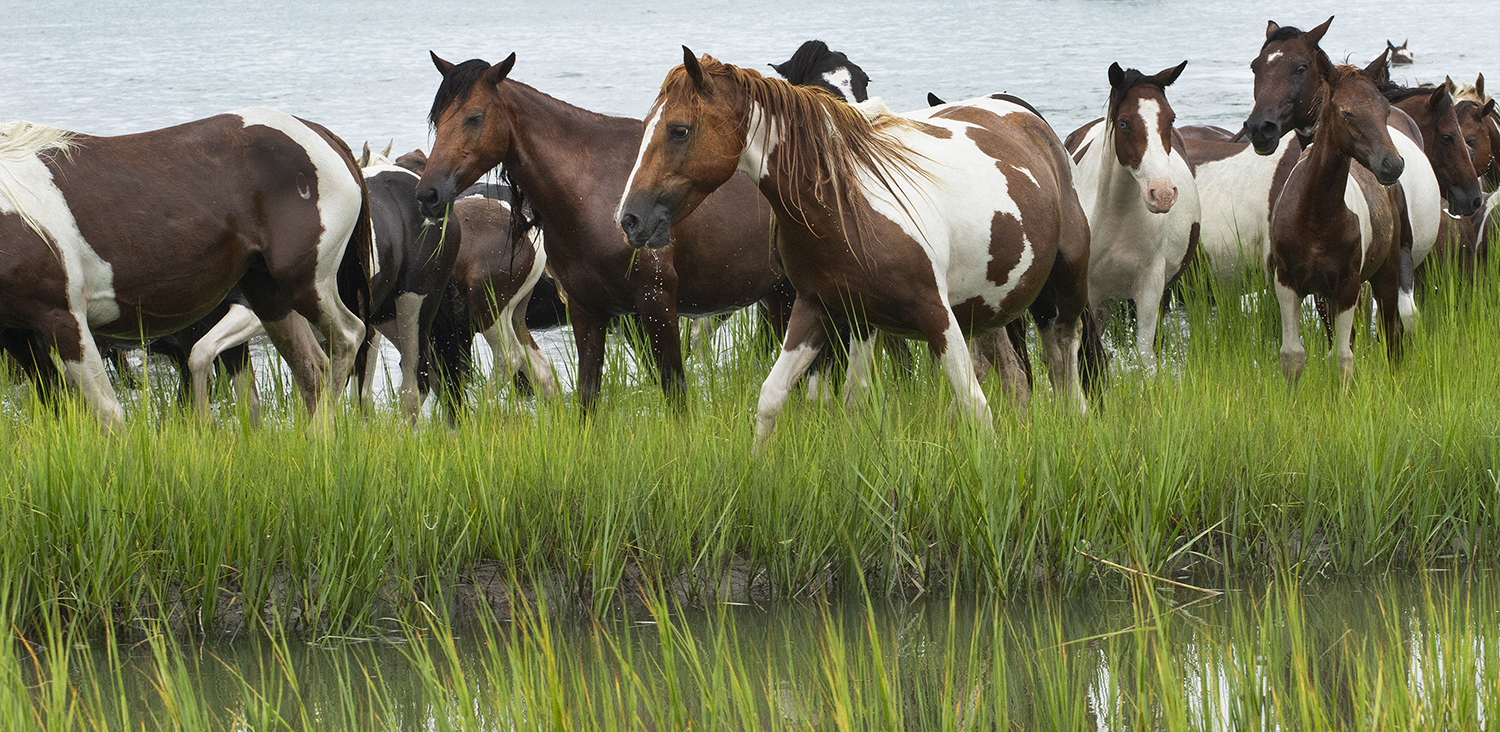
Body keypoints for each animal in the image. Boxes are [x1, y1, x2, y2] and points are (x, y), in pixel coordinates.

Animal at [0, 111, 372, 426]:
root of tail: (320, 132)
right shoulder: (18, 335)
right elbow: (58, 407)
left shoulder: (64, 320)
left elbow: (108, 415)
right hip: (269, 295)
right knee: (312, 369)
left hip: (306, 283)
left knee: (347, 337)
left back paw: (320, 435)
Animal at [615, 49, 1098, 447]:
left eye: (679, 130)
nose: (629, 219)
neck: (846, 204)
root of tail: (1029, 121)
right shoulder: (817, 309)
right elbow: (775, 399)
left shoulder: (936, 315)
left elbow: (975, 409)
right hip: (987, 307)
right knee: (1017, 375)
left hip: (1065, 285)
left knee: (1065, 359)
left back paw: (1075, 421)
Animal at [1068, 60, 1194, 369]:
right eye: (1124, 123)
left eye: (1170, 119)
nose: (1162, 194)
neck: (1116, 216)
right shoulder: (1091, 294)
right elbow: (1094, 351)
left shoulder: (1150, 286)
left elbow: (1146, 354)